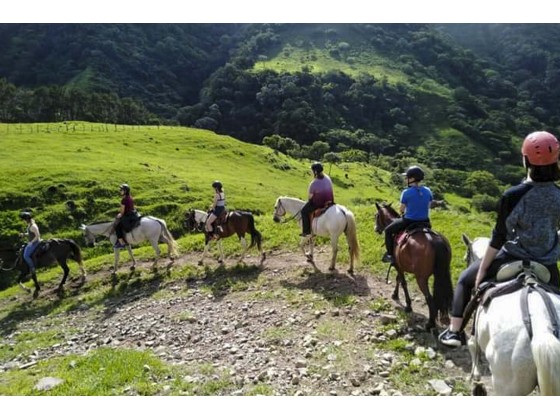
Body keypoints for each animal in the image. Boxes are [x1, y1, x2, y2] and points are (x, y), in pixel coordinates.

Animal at [374, 203, 452, 332]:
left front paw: (408, 305)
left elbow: (403, 282)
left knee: (429, 299)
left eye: (376, 216)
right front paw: (395, 294)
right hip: (444, 274)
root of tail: (434, 240)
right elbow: (398, 279)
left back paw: (430, 323)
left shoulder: (397, 265)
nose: (376, 229)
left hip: (421, 278)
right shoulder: (399, 265)